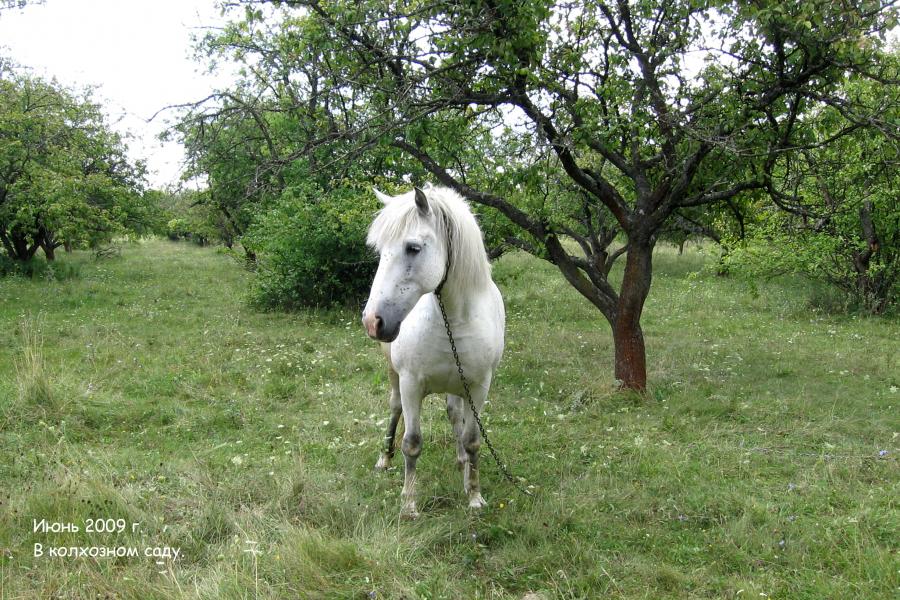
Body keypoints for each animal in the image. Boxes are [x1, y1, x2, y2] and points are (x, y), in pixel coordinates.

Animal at [364, 186, 506, 516]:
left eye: (413, 248)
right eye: (379, 251)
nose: (373, 321)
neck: (453, 318)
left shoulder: (478, 387)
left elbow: (472, 440)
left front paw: (474, 496)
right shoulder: (411, 385)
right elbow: (412, 443)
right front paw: (409, 504)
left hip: (457, 387)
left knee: (455, 417)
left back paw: (462, 464)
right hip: (394, 377)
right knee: (395, 410)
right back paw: (384, 458)